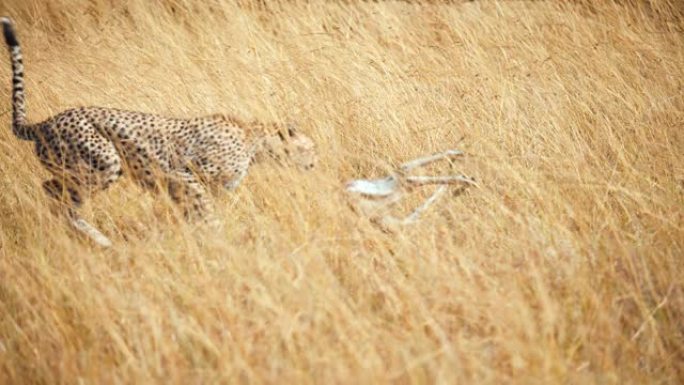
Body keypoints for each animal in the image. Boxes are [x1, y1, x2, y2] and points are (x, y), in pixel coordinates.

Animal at [2, 17, 318, 246]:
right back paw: (100, 239)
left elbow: (195, 214)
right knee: (59, 198)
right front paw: (219, 239)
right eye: (311, 147)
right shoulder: (182, 175)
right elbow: (206, 213)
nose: (316, 163)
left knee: (52, 191)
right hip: (104, 162)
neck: (254, 140)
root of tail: (44, 123)